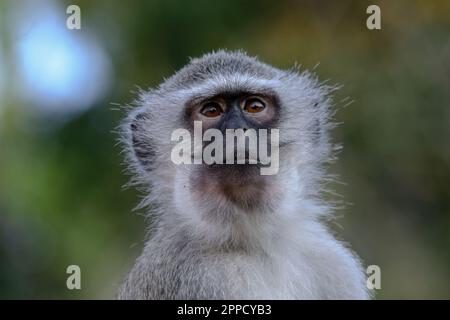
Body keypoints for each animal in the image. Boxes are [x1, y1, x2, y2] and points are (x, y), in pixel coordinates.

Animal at [118, 50, 370, 300]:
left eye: (255, 106)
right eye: (211, 110)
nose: (237, 129)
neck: (253, 241)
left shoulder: (333, 262)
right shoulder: (201, 277)